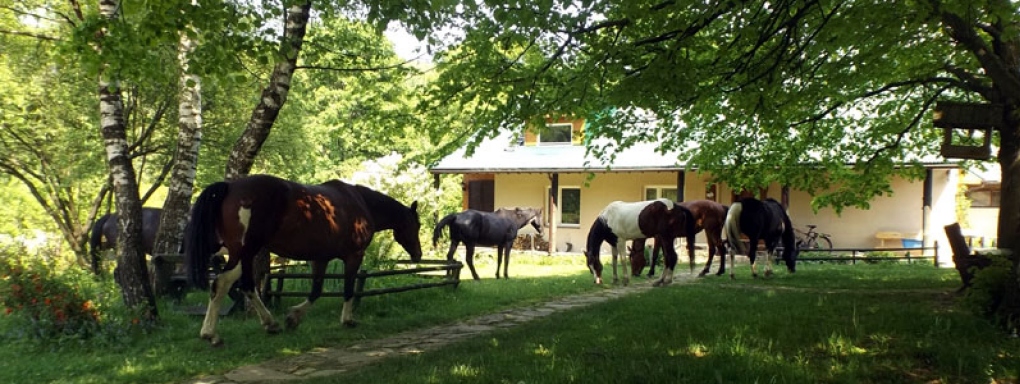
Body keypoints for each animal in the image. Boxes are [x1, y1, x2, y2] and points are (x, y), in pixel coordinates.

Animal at [184, 173, 422, 345]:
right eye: (417, 225)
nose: (418, 254)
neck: (360, 203)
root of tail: (230, 187)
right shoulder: (354, 256)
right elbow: (347, 289)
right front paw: (347, 320)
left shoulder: (320, 258)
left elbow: (316, 291)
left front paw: (293, 318)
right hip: (245, 253)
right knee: (230, 283)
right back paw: (222, 332)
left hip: (243, 255)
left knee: (234, 285)